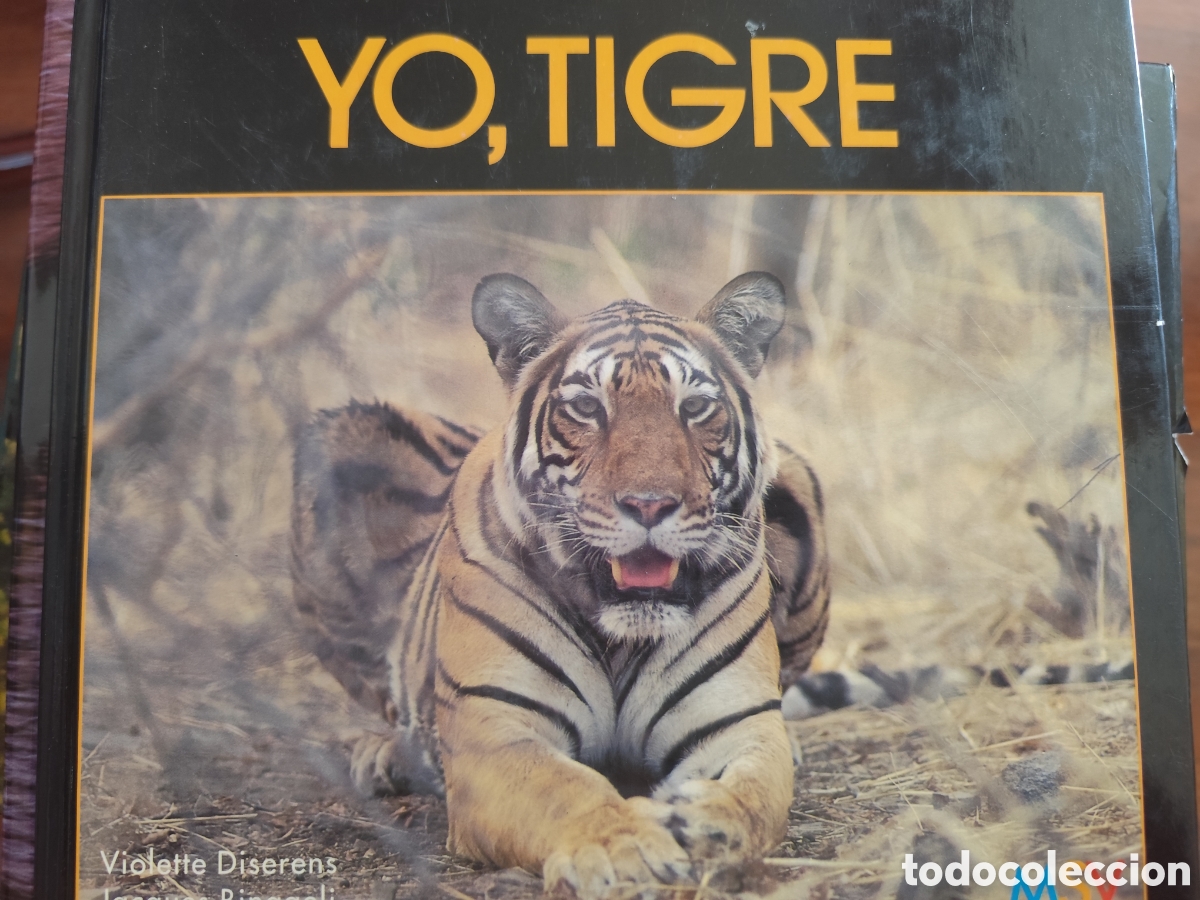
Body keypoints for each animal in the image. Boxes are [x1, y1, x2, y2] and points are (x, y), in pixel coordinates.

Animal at [291, 271, 832, 897]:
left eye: (695, 407)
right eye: (587, 407)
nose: (650, 505)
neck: (621, 635)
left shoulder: (738, 725)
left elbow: (754, 795)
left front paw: (704, 822)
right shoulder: (496, 729)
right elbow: (564, 788)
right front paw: (624, 851)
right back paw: (384, 756)